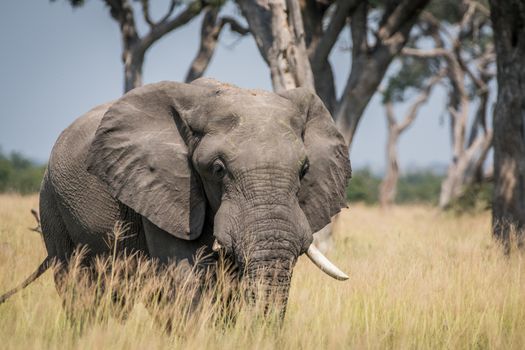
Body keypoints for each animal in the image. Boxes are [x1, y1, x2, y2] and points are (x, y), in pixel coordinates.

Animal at [1, 79, 352, 320]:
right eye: (217, 169)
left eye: (304, 170)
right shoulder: (162, 189)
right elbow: (184, 272)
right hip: (51, 204)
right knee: (78, 286)